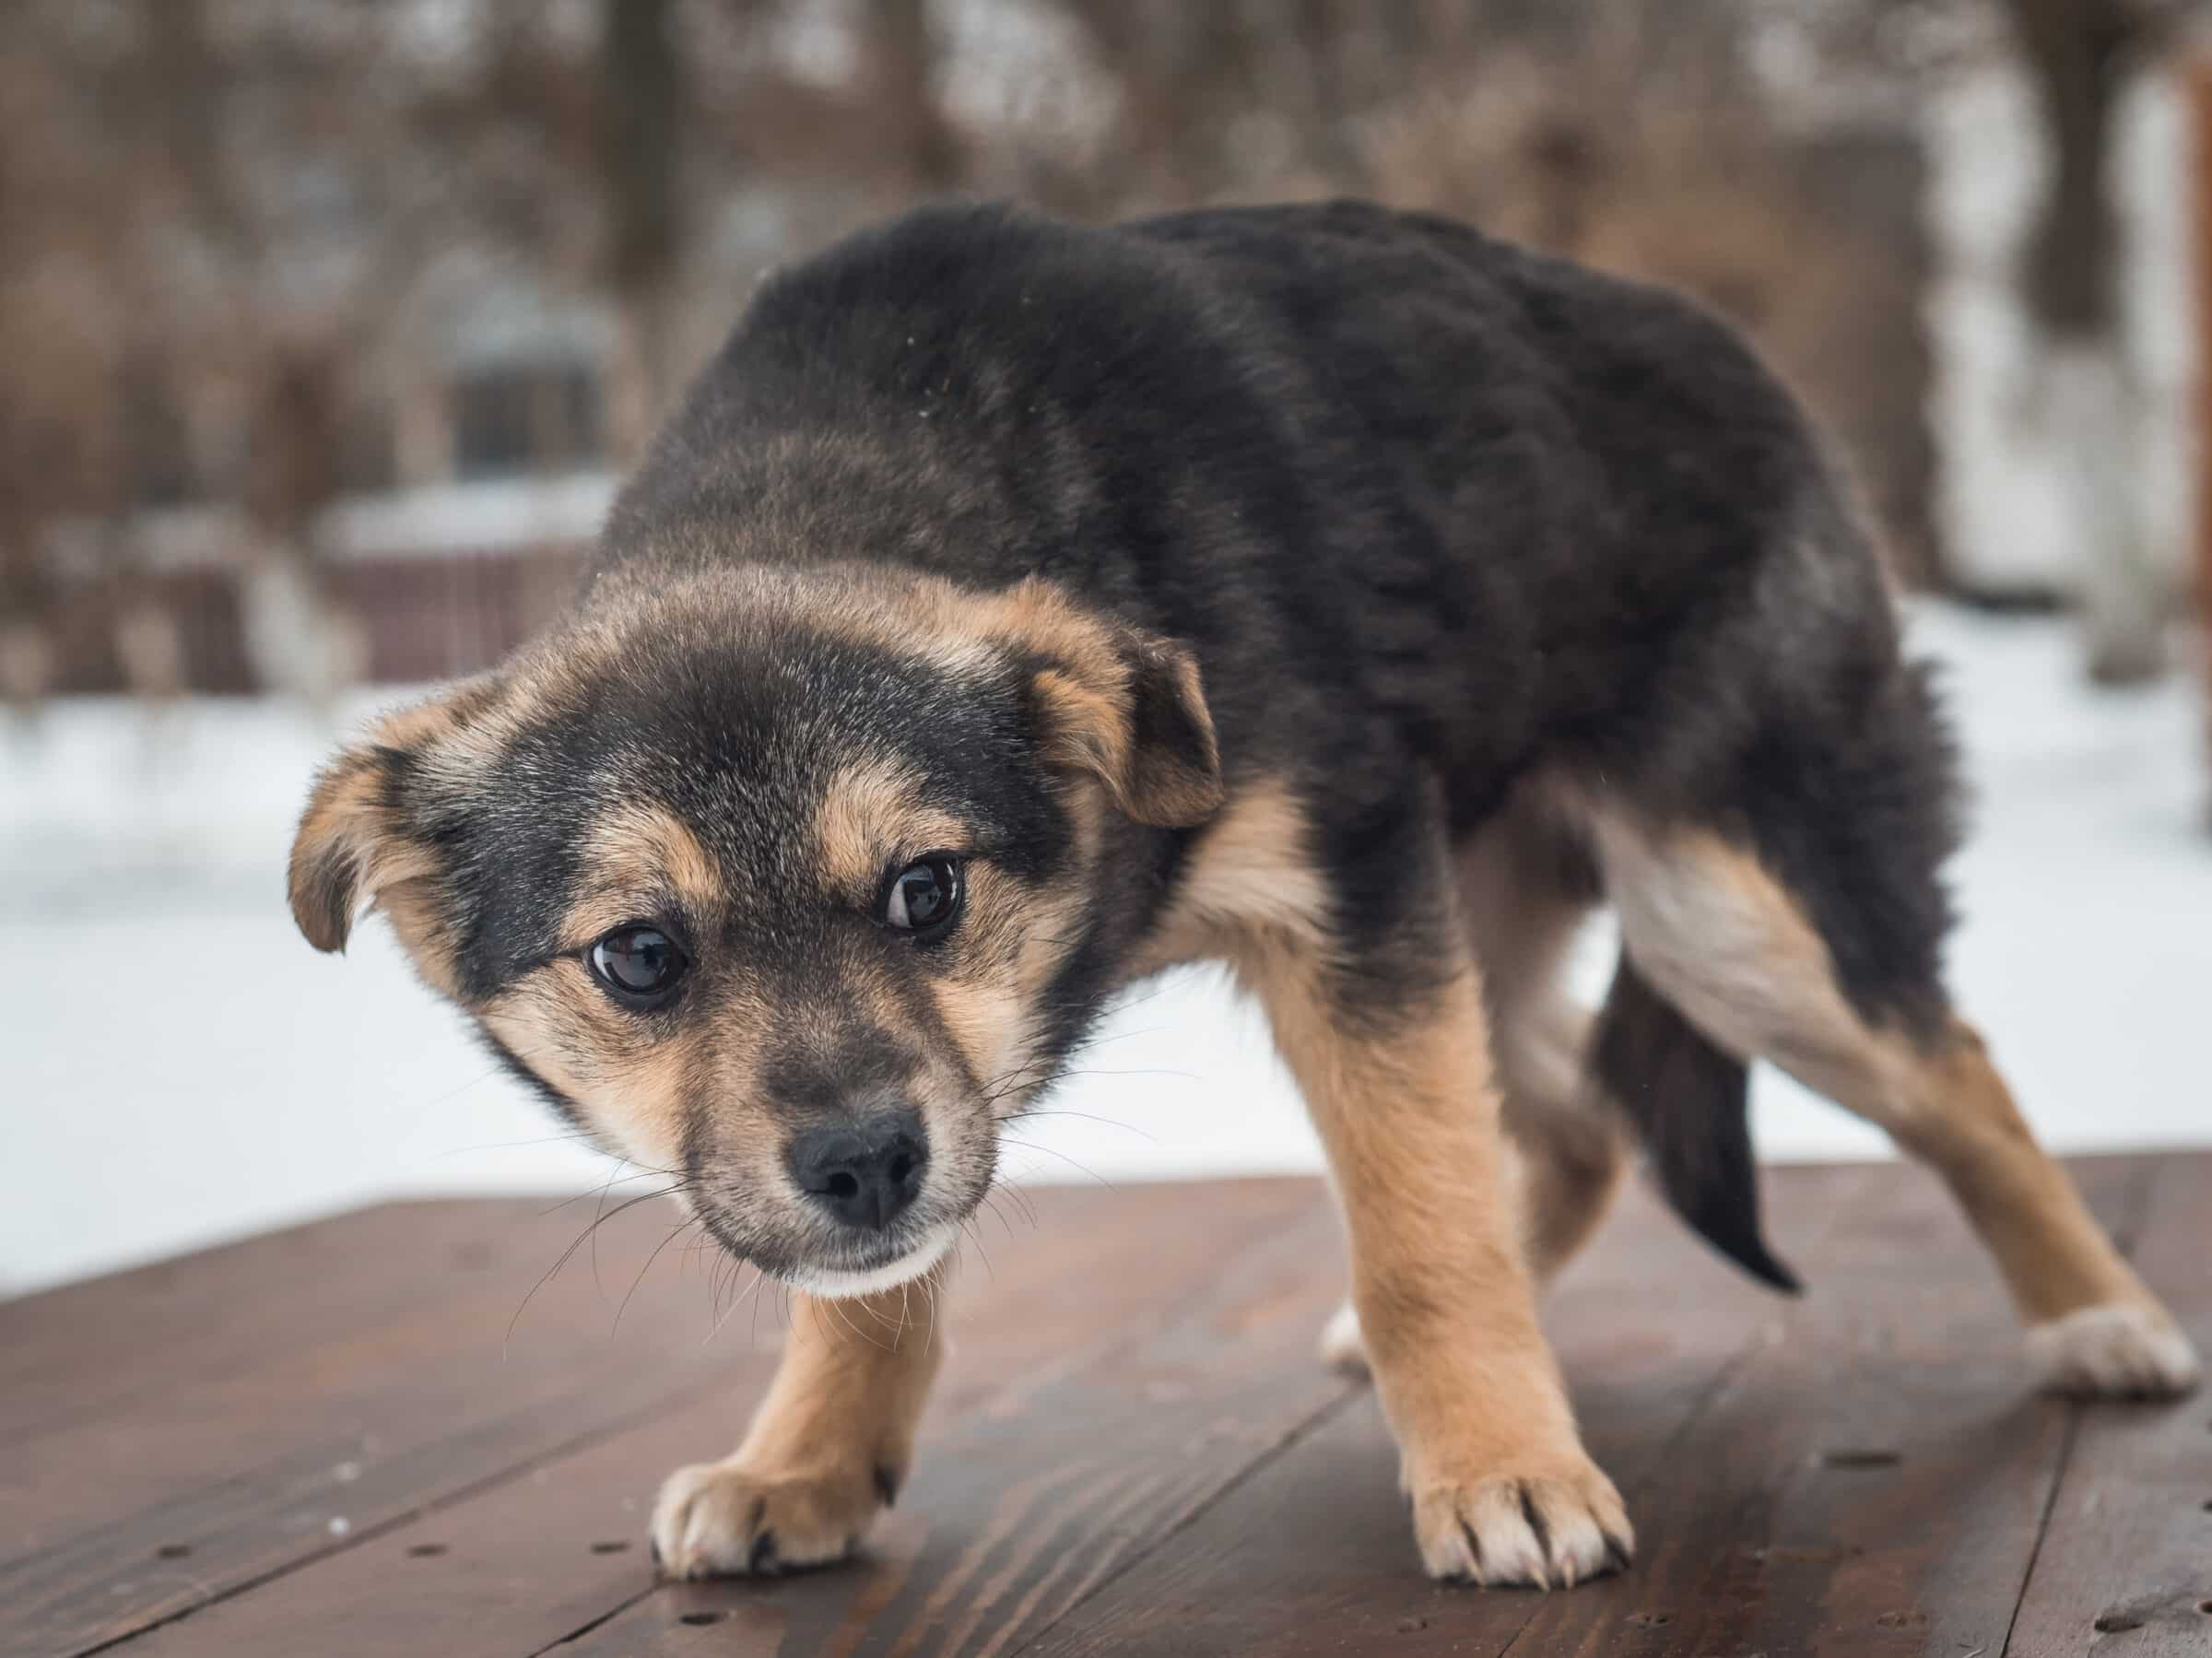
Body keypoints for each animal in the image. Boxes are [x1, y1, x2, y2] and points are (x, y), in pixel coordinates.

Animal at [289, 201, 2194, 1592]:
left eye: (927, 888)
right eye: (639, 954)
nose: (862, 1160)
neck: (863, 457)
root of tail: (1730, 348)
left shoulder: (1345, 898)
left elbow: (1423, 1221)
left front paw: (1500, 1462)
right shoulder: (1268, 966)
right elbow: (874, 1274)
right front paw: (807, 1457)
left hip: (1721, 905)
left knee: (1945, 1066)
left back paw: (2105, 1318)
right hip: (1488, 897)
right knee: (1576, 1111)